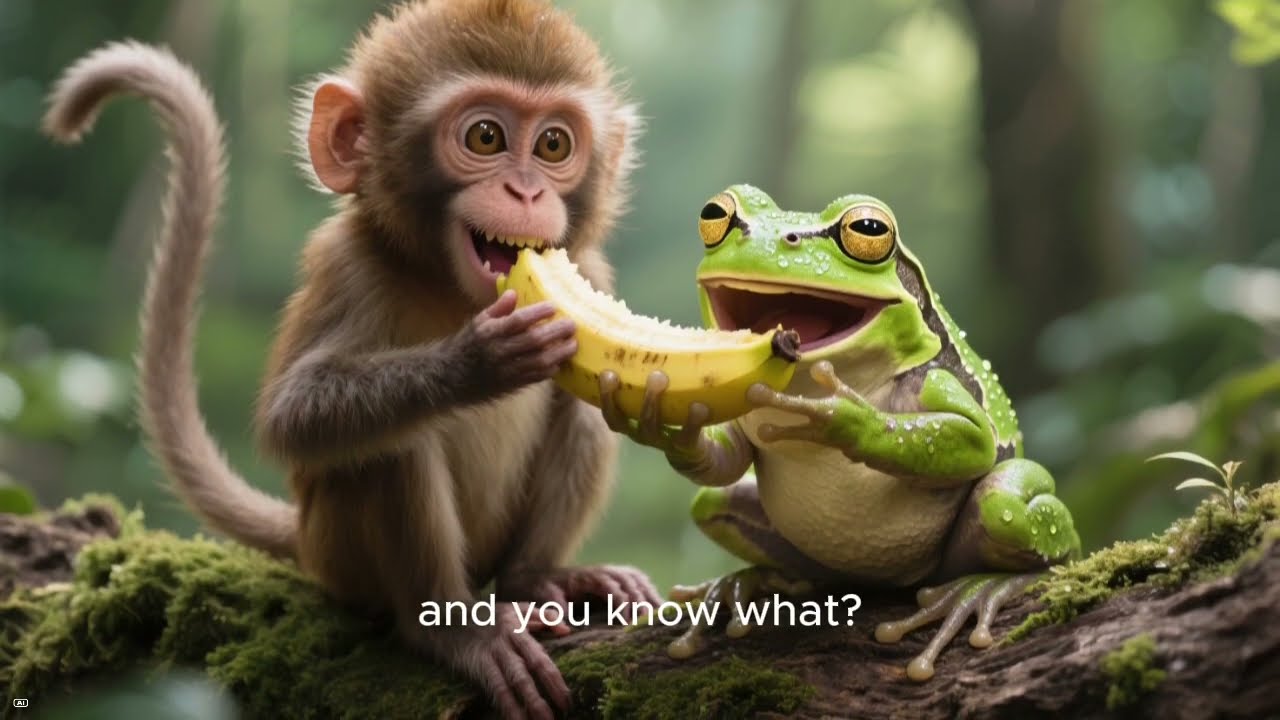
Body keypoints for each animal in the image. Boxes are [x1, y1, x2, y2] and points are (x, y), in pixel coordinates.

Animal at [42, 1, 661, 717]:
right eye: (485, 137)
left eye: (554, 146)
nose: (527, 192)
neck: (447, 287)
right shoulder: (347, 264)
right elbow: (294, 419)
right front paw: (478, 361)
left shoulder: (587, 266)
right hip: (339, 557)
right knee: (388, 442)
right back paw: (454, 631)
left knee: (570, 418)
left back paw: (536, 580)